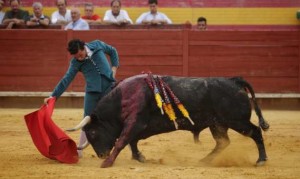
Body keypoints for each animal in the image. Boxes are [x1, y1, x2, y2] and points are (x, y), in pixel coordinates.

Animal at [67, 74, 270, 168]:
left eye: (93, 132)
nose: (101, 155)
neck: (122, 97)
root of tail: (234, 81)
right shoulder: (138, 126)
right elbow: (132, 141)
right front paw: (139, 157)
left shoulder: (135, 122)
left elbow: (123, 141)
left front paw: (107, 163)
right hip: (217, 124)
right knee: (223, 142)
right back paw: (204, 160)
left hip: (237, 121)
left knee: (255, 132)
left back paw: (261, 160)